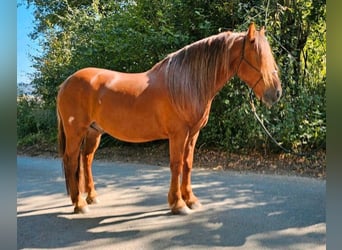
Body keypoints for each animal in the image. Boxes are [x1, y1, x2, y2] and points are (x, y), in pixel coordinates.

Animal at [56, 23, 280, 215]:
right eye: (257, 57)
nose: (276, 93)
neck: (186, 83)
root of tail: (65, 83)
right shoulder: (178, 134)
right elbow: (176, 164)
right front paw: (178, 204)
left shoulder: (193, 133)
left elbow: (188, 164)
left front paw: (191, 200)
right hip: (76, 132)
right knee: (71, 160)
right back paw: (79, 204)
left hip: (94, 132)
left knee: (86, 159)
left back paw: (91, 197)